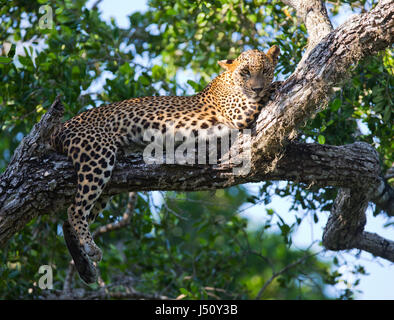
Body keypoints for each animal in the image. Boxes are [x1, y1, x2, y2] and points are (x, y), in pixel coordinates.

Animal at [50, 45, 282, 282]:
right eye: (245, 72)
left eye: (265, 70)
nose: (256, 88)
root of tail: (60, 128)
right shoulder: (239, 111)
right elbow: (266, 93)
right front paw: (278, 84)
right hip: (97, 157)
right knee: (74, 209)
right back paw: (91, 249)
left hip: (107, 183)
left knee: (69, 220)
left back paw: (85, 268)